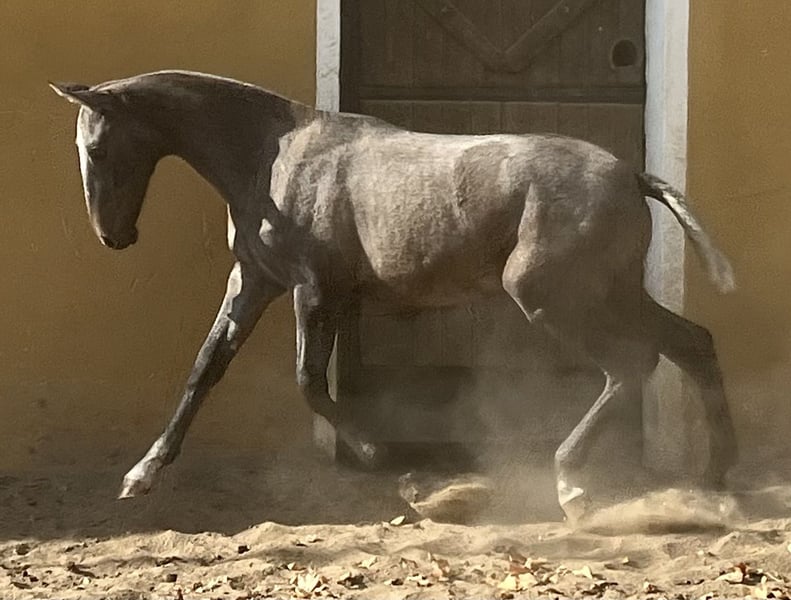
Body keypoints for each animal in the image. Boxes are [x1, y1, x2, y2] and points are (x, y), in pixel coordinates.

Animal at [50, 70, 737, 517]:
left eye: (97, 146)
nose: (114, 236)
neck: (273, 158)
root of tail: (633, 176)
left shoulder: (313, 290)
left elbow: (308, 380)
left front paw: (381, 456)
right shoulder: (255, 283)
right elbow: (205, 369)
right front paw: (141, 474)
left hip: (552, 297)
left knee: (630, 364)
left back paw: (572, 484)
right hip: (610, 293)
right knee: (691, 343)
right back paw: (714, 479)